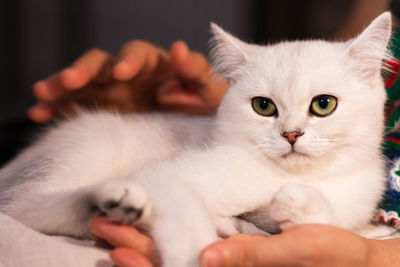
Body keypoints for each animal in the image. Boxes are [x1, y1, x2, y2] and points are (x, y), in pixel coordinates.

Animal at [0, 13, 392, 267]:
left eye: (323, 105)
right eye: (263, 106)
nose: (291, 134)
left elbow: (326, 221)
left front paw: (297, 206)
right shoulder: (165, 178)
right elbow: (187, 217)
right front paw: (196, 252)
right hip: (92, 148)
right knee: (29, 206)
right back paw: (120, 201)